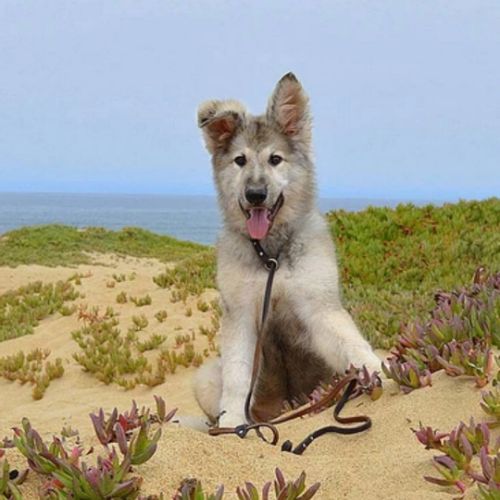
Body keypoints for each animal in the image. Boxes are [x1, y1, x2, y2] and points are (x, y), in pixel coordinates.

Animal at [194, 73, 380, 428]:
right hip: (208, 377)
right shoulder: (240, 316)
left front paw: (377, 367)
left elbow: (350, 341)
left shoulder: (320, 307)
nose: (255, 194)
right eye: (240, 161)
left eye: (275, 160)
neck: (271, 255)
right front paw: (231, 422)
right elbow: (237, 377)